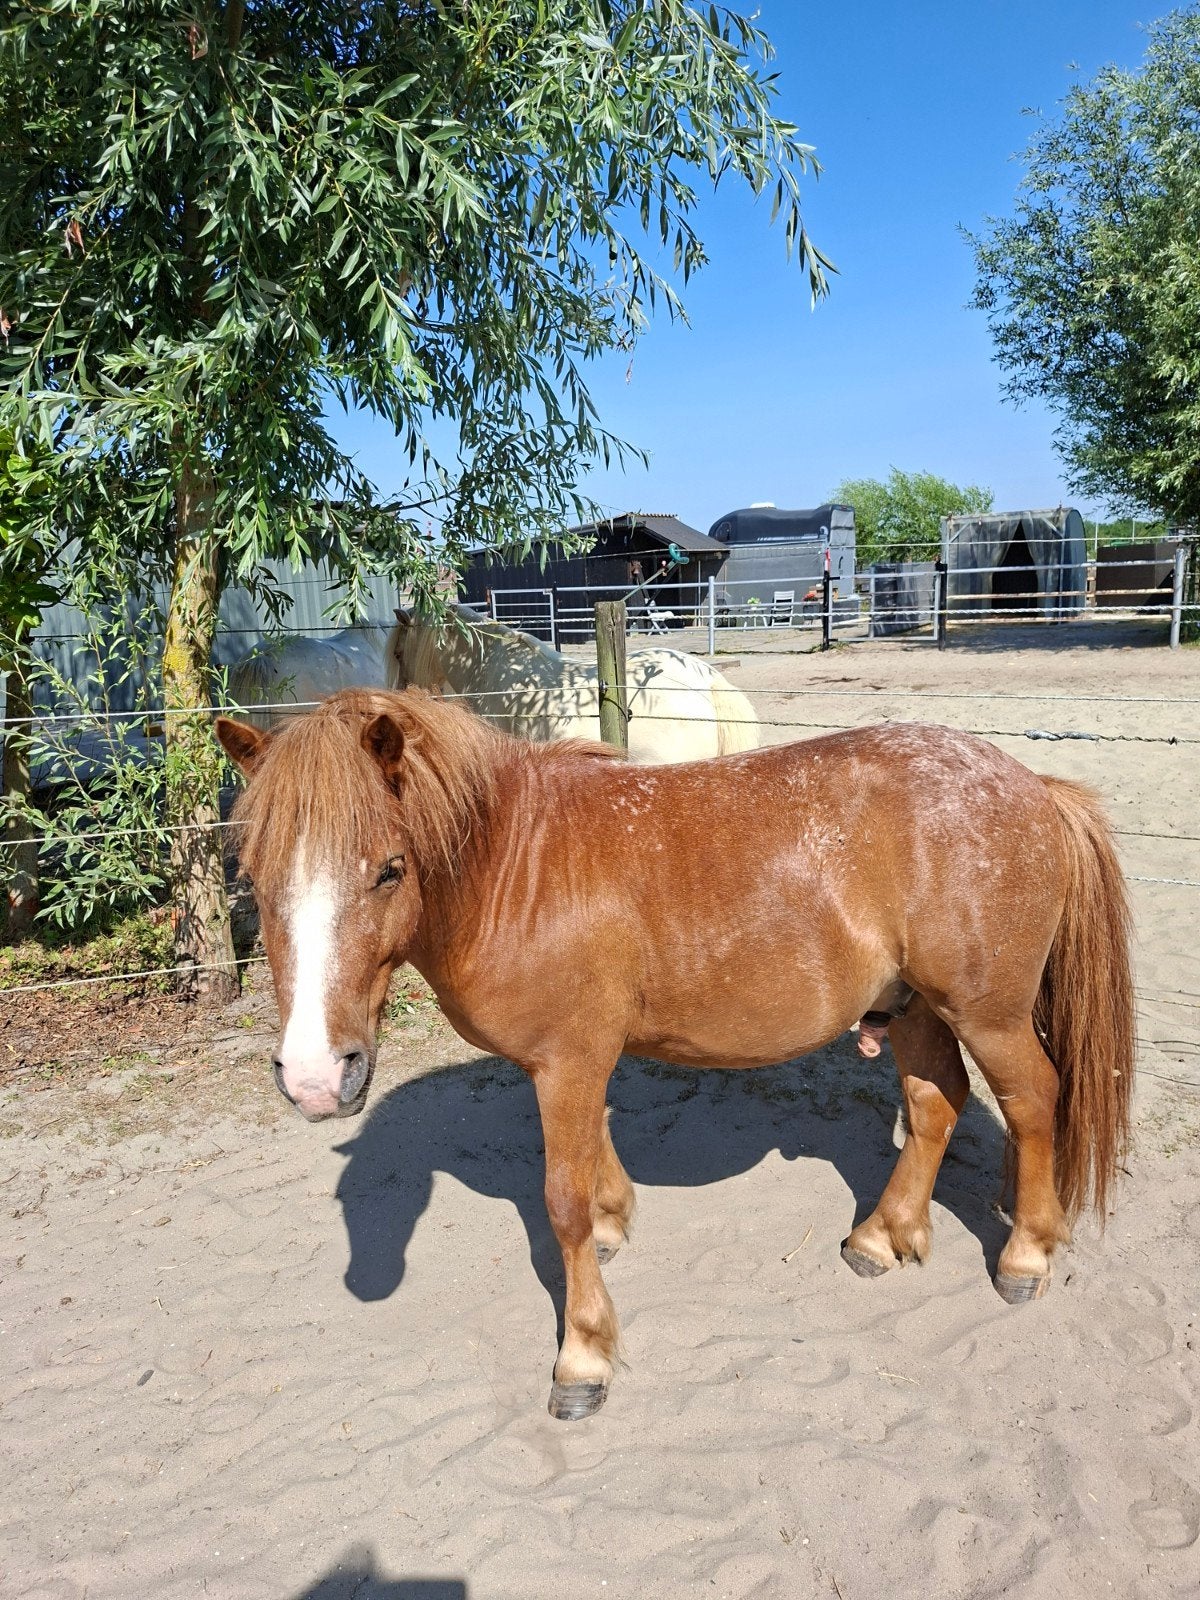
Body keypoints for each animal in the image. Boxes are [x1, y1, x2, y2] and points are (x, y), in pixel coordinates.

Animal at [215, 689, 1134, 1422]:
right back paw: (883, 1236)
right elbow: (592, 1158)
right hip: (912, 1006)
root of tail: (1033, 786)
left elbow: (560, 1200)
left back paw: (1025, 1256)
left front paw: (583, 1356)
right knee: (935, 1101)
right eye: (253, 876)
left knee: (1032, 1100)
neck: (515, 867)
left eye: (389, 869)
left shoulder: (570, 1058)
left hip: (988, 1014)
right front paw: (615, 1220)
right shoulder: (575, 1059)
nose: (314, 1079)